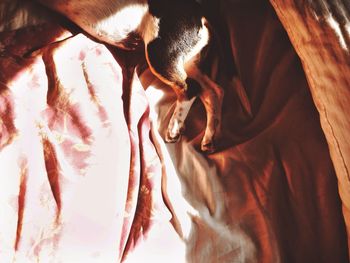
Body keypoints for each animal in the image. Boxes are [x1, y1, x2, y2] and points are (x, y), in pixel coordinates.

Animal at [36, 0, 224, 154]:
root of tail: (200, 16)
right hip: (187, 61)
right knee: (212, 91)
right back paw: (208, 139)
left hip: (160, 53)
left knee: (189, 88)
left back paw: (174, 129)